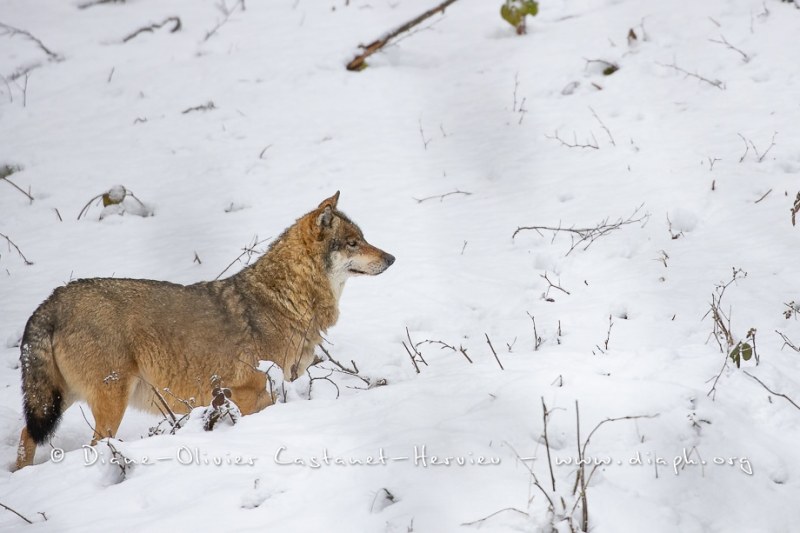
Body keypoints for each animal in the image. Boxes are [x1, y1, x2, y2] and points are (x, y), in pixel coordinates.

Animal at [16, 193, 394, 468]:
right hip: (107, 403)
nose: (391, 258)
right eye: (353, 243)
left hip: (60, 399)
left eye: (363, 239)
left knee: (25, 435)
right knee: (93, 445)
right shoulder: (251, 391)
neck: (285, 298)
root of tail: (53, 298)